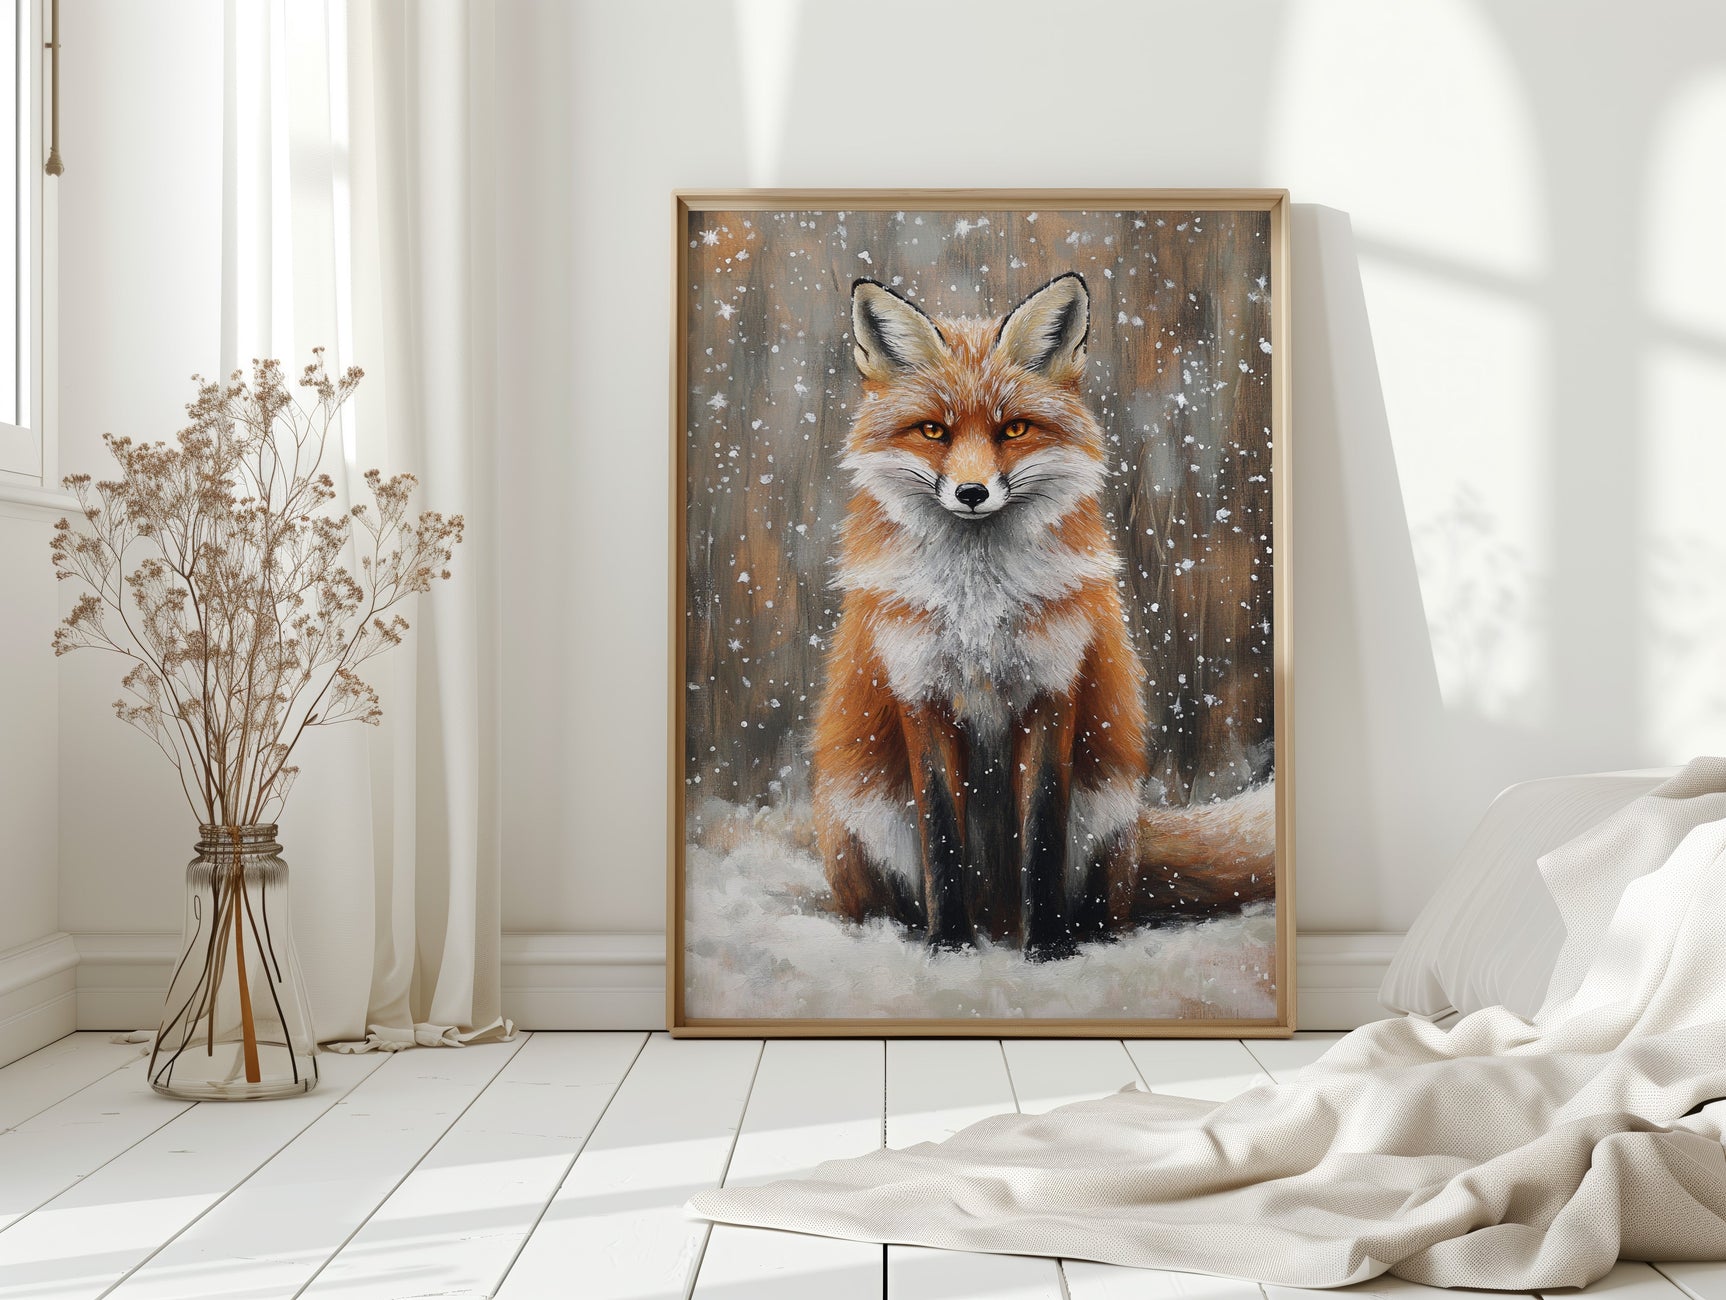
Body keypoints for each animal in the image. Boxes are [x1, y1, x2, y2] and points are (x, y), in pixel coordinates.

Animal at [811, 272, 1150, 960]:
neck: (978, 608)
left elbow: (1042, 837)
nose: (972, 493)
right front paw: (949, 946)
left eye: (1014, 430)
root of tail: (998, 918)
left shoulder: (1054, 688)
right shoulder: (920, 692)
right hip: (861, 819)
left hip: (1110, 817)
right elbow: (942, 836)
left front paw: (1048, 949)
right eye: (933, 431)